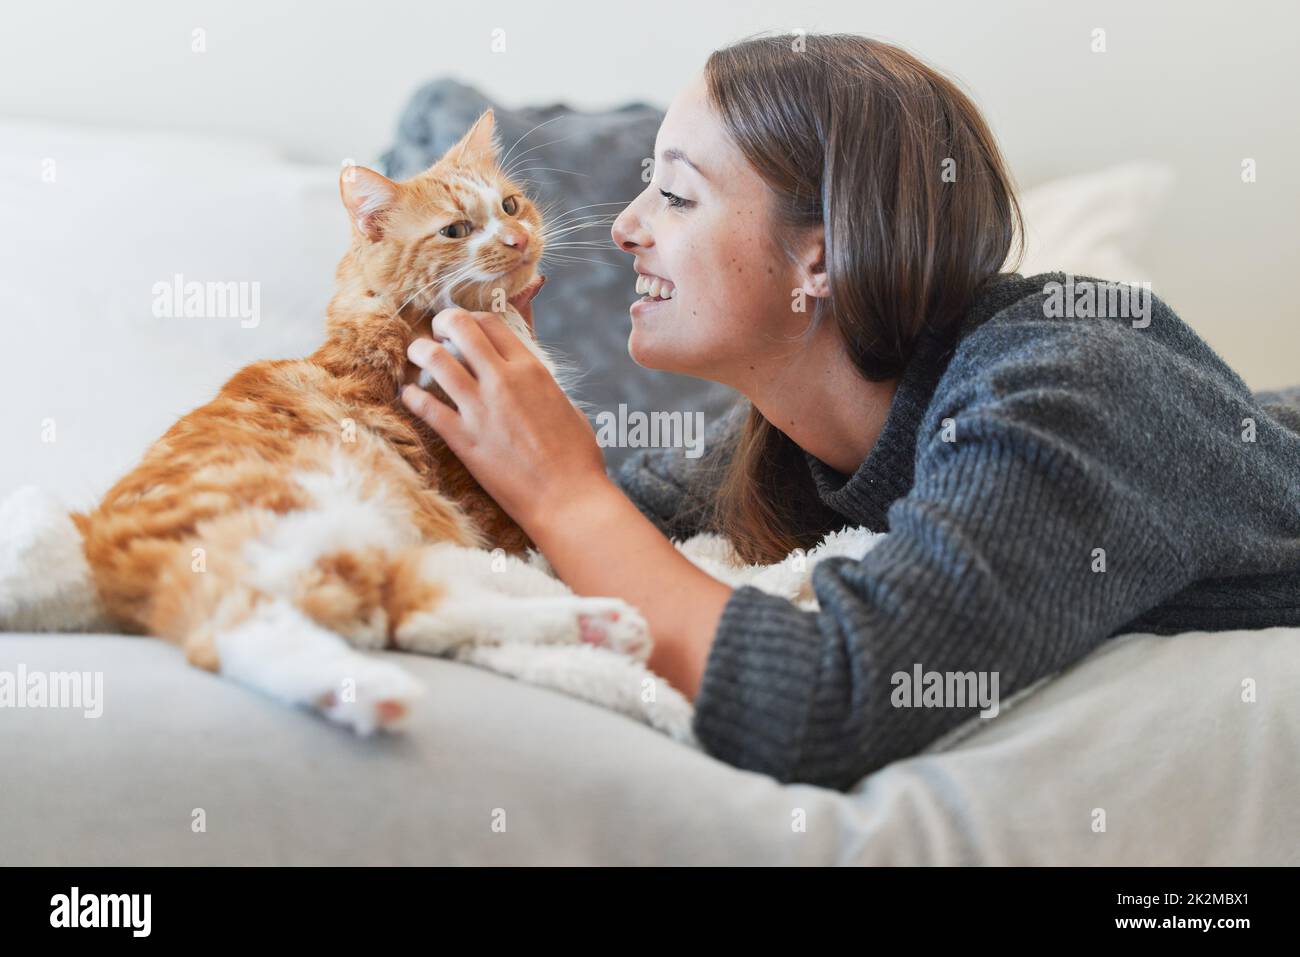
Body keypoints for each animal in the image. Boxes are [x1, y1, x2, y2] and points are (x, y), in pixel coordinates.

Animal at [61, 108, 650, 728]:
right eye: (456, 231)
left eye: (510, 207)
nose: (517, 238)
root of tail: (97, 541)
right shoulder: (499, 514)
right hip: (297, 517)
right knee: (232, 627)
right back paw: (370, 690)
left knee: (415, 616)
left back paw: (599, 625)